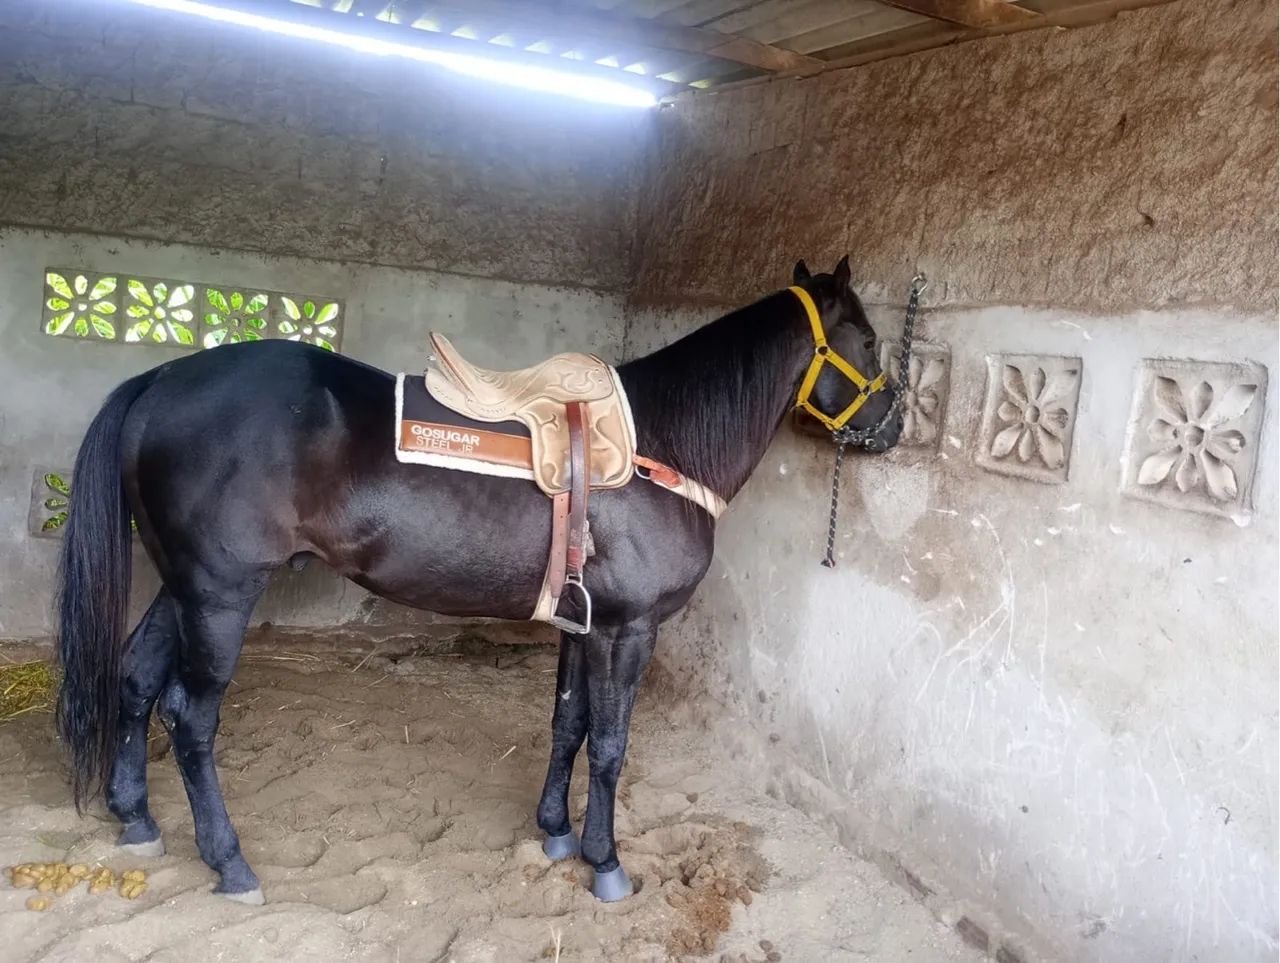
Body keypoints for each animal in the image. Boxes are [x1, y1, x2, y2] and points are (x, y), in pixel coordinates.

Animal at [54, 255, 903, 905]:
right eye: (865, 337)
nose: (894, 424)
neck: (660, 444)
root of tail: (161, 378)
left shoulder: (582, 624)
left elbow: (569, 724)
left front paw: (555, 831)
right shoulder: (629, 628)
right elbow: (611, 745)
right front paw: (605, 862)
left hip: (184, 586)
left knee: (135, 679)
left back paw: (135, 818)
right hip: (222, 594)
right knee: (189, 717)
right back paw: (230, 862)